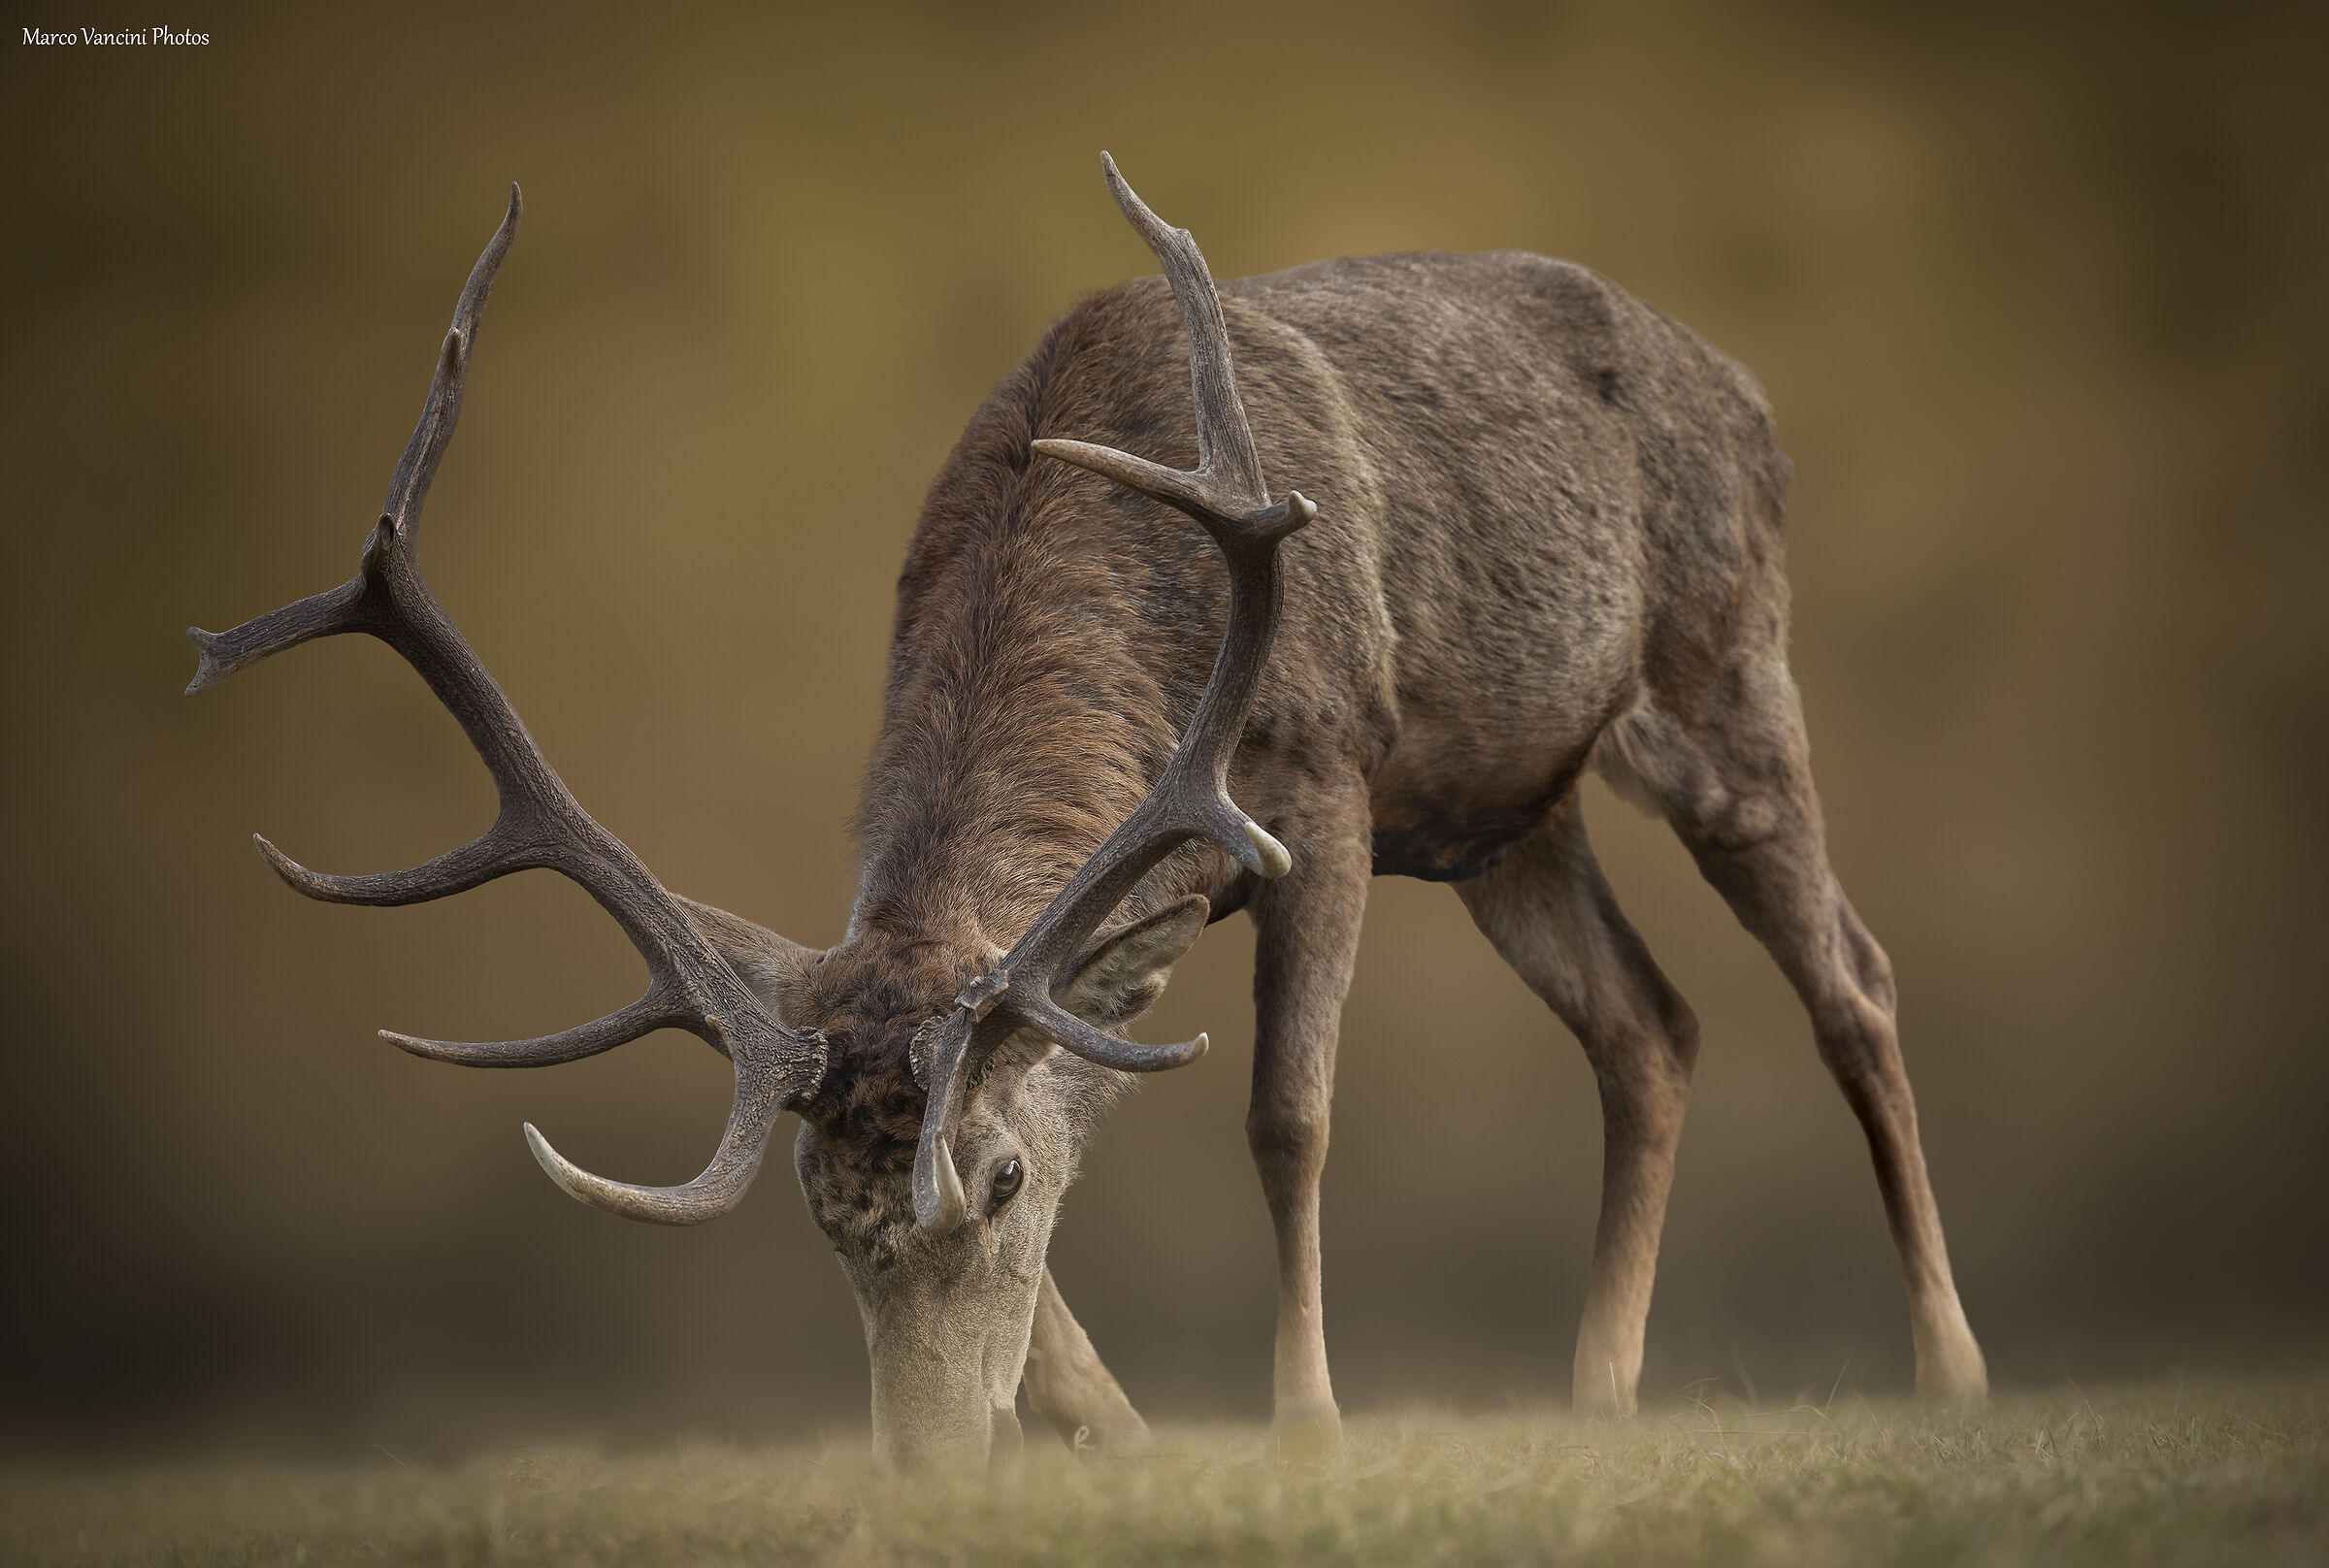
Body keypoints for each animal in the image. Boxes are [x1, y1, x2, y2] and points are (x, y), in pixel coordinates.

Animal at [188, 156, 1988, 1468]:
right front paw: (1109, 1429)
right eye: (818, 1214)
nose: (920, 1463)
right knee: (1651, 1021)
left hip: (1722, 670)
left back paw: (1950, 1371)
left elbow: (1285, 1111)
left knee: (1853, 980)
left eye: (992, 1186)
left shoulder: (1320, 787)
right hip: (1501, 811)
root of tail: (1742, 384)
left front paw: (1306, 1423)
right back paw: (1599, 1393)